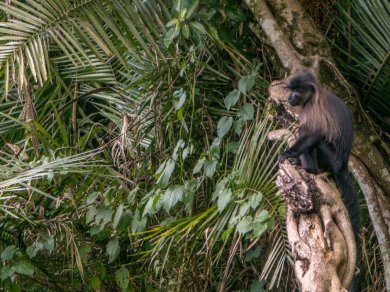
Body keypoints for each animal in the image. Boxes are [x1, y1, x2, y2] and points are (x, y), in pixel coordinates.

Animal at [280, 70, 360, 290]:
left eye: (297, 92)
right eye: (291, 91)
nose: (290, 98)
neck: (312, 98)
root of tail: (342, 166)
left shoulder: (313, 108)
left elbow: (314, 134)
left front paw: (288, 154)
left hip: (331, 159)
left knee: (316, 138)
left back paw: (311, 170)